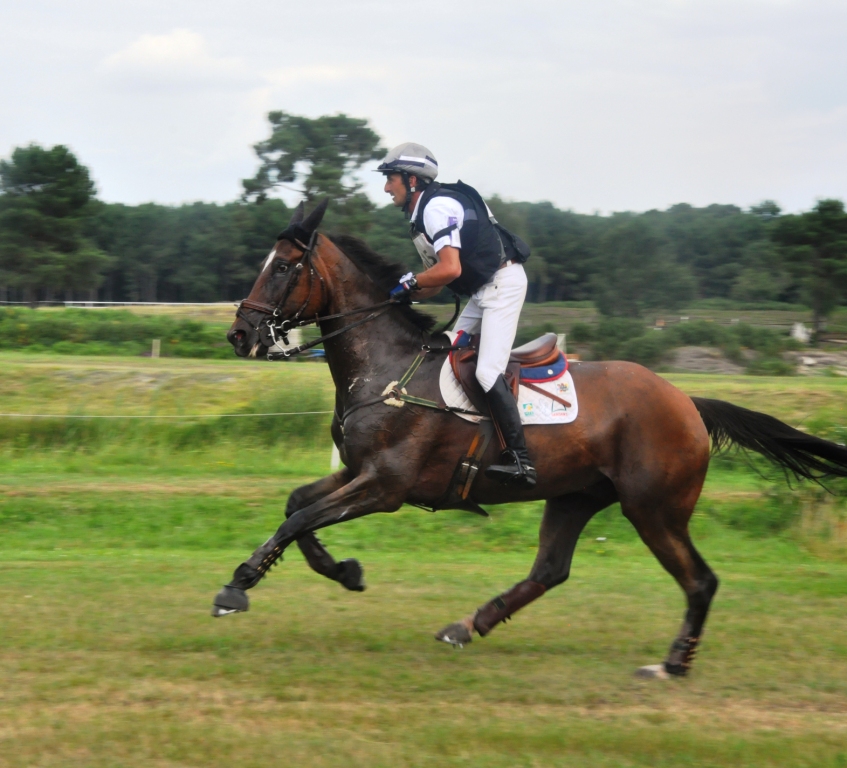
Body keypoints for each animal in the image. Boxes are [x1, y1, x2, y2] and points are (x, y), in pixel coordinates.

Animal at [214, 202, 847, 680]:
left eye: (281, 268)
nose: (240, 334)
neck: (387, 369)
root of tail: (686, 401)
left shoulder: (385, 487)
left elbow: (301, 518)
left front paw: (237, 586)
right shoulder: (356, 473)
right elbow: (298, 506)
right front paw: (342, 570)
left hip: (655, 509)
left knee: (699, 580)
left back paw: (671, 664)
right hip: (575, 496)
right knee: (550, 570)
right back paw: (466, 626)